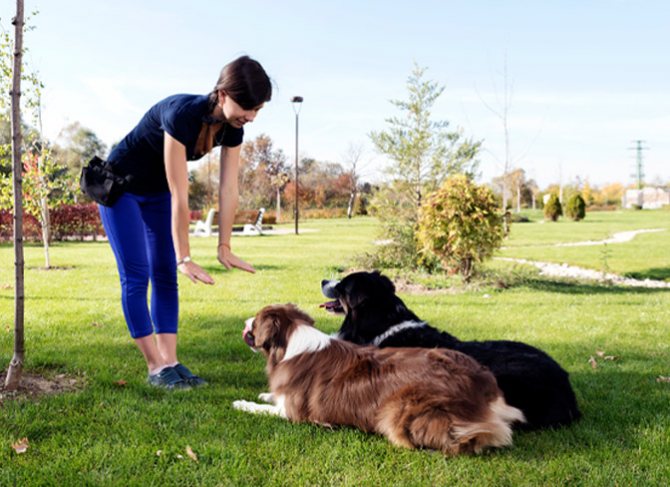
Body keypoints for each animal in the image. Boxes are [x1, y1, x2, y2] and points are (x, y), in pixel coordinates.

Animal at [234, 304, 528, 456]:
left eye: (256, 321)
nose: (245, 321)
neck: (290, 342)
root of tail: (484, 386)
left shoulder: (293, 413)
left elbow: (262, 408)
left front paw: (241, 403)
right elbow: (271, 397)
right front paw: (265, 394)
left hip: (400, 410)